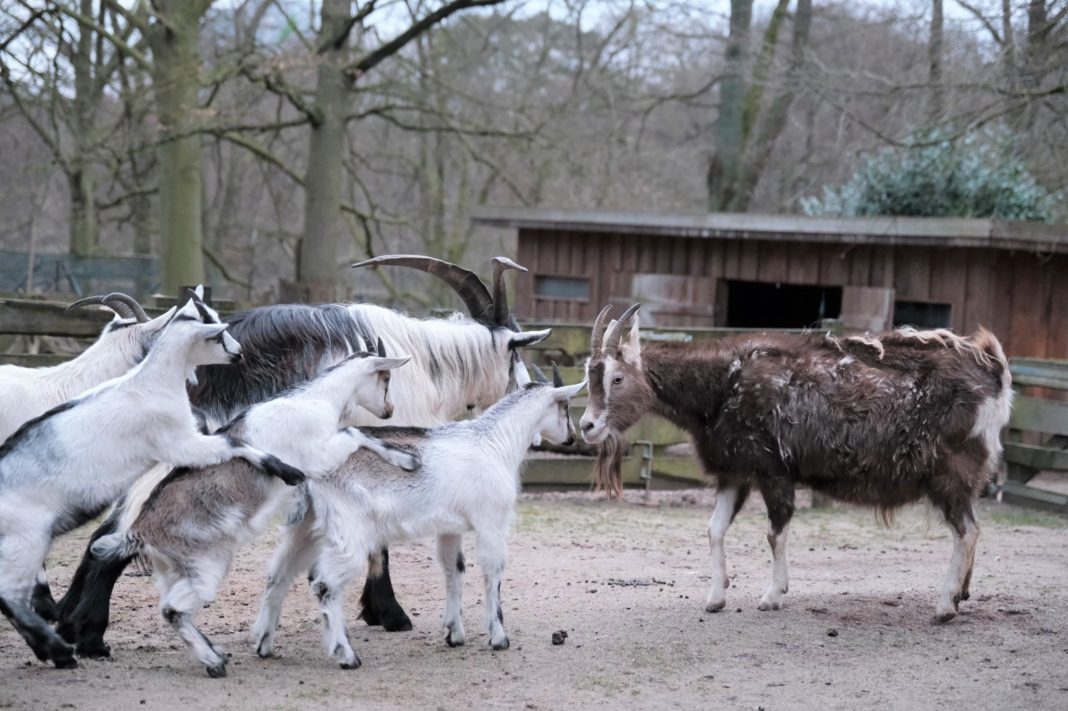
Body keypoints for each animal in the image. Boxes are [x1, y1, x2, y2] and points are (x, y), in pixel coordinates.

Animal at [90, 343, 416, 674]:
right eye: (386, 378)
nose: (389, 410)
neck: (315, 400)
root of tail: (139, 531)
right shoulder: (319, 458)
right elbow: (354, 433)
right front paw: (407, 460)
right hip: (205, 567)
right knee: (173, 609)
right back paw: (214, 662)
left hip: (171, 571)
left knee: (172, 609)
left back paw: (214, 653)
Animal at [248, 367, 585, 666]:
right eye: (565, 406)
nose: (571, 437)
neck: (494, 442)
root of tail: (313, 466)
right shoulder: (492, 522)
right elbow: (493, 573)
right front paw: (499, 638)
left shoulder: (450, 528)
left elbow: (454, 570)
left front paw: (454, 634)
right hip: (348, 531)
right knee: (324, 584)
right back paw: (346, 655)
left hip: (305, 526)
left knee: (278, 574)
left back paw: (264, 645)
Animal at [580, 305, 1012, 619]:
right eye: (590, 376)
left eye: (617, 378)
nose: (586, 426)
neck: (723, 385)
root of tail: (994, 372)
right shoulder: (735, 471)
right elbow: (714, 531)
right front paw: (716, 597)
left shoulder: (773, 470)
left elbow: (775, 533)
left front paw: (773, 595)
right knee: (972, 529)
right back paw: (962, 594)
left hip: (951, 471)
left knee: (966, 530)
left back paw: (944, 606)